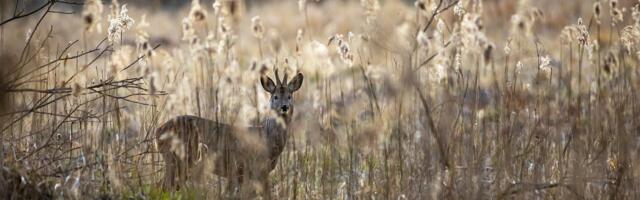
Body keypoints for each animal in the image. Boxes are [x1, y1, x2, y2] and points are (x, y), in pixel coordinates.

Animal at [156, 69, 304, 197]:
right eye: (275, 97)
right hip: (178, 159)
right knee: (163, 187)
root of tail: (158, 131)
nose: (284, 107)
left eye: (289, 96)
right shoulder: (249, 168)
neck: (267, 138)